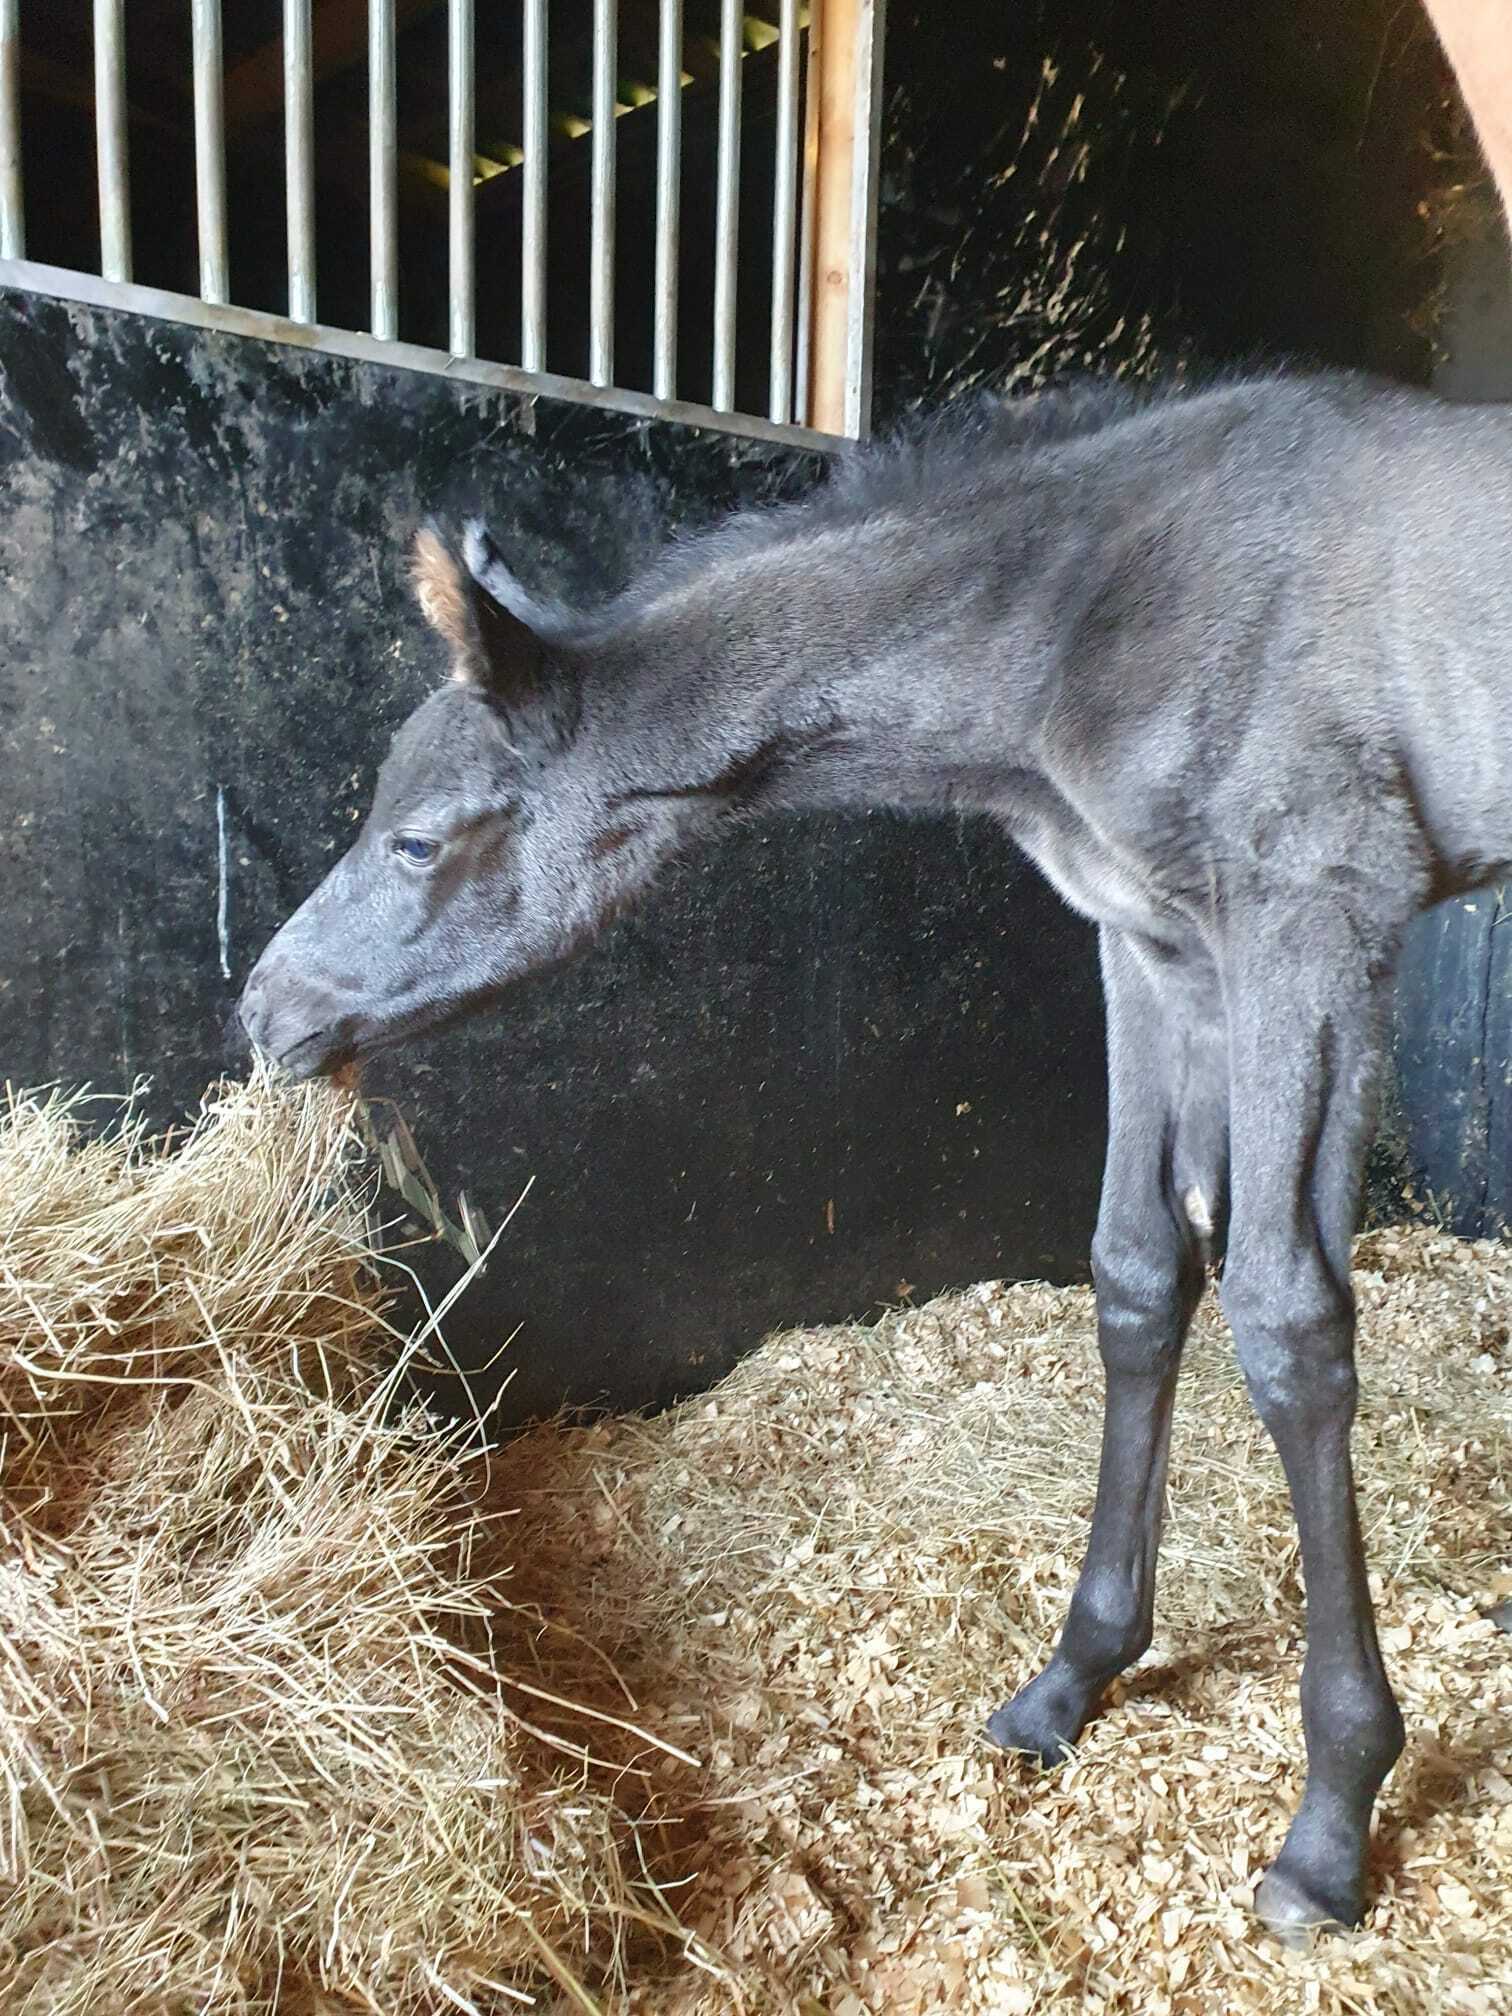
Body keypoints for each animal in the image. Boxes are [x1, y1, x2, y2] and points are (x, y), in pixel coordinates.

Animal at [239, 370, 1512, 1927]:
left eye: (419, 839)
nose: (268, 1011)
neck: (1085, 615)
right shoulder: (1149, 941)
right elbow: (1139, 1274)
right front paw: (1071, 1680)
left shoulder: (1317, 919)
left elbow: (1290, 1320)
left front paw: (1333, 1809)